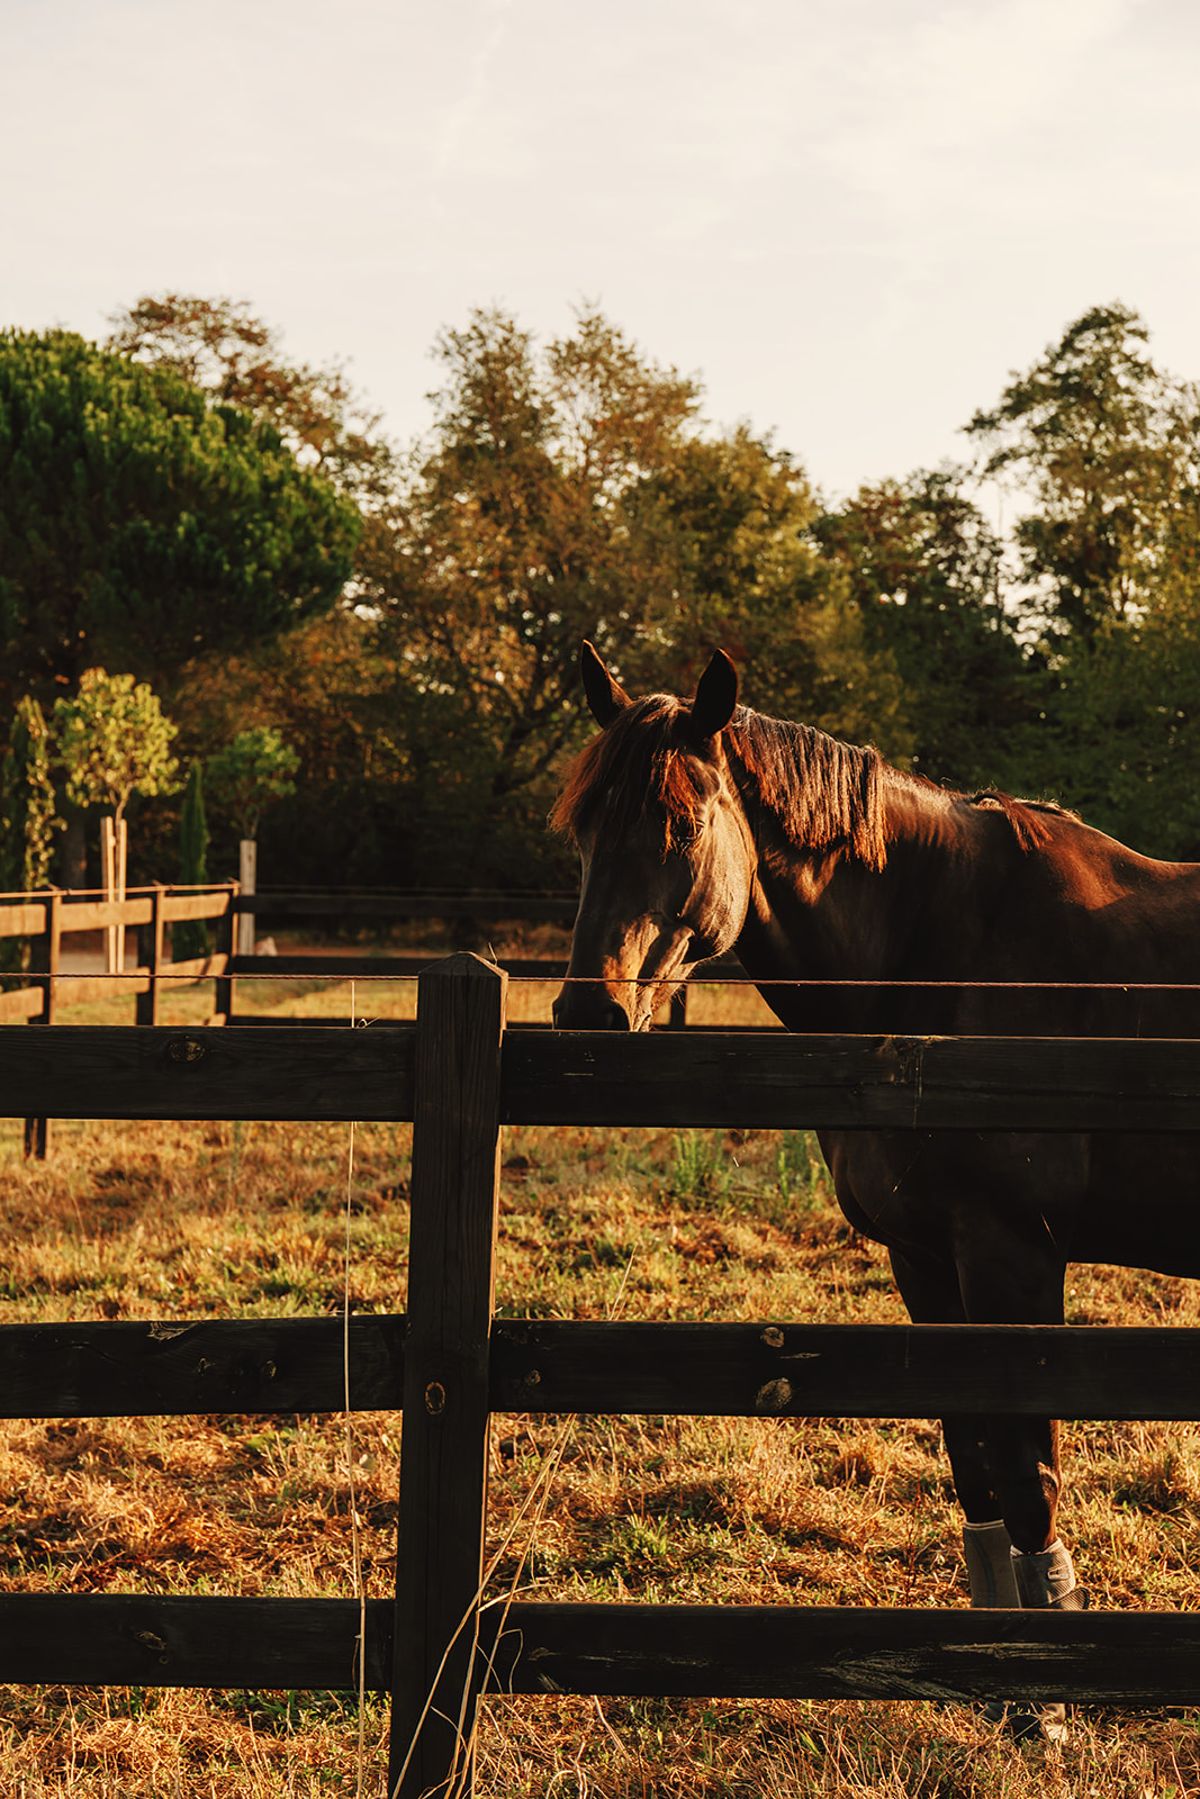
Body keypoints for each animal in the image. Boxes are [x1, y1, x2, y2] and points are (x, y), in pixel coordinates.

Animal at [550, 640, 1200, 1735]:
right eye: (584, 827)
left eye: (682, 824)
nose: (587, 1010)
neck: (942, 955)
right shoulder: (923, 1254)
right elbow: (972, 1457)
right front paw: (1001, 1678)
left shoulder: (1014, 1254)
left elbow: (1028, 1464)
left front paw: (1049, 1698)